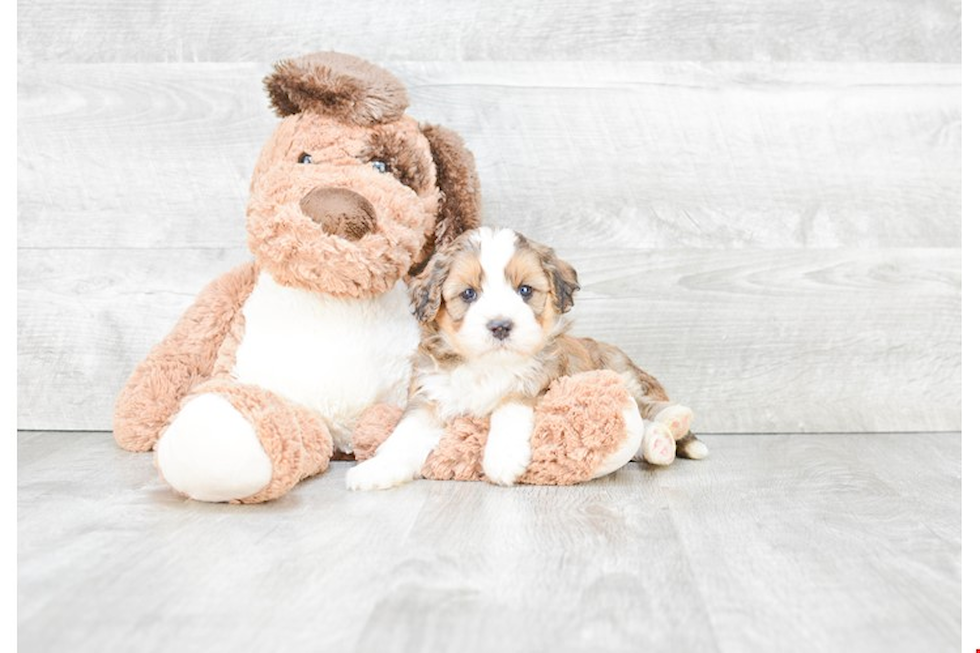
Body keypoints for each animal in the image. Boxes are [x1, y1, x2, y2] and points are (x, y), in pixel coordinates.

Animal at [348, 228, 708, 488]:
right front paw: (377, 469)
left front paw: (503, 458)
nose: (500, 326)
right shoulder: (431, 394)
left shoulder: (544, 378)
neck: (488, 364)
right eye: (469, 294)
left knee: (645, 406)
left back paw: (673, 419)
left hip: (620, 372)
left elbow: (510, 404)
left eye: (524, 291)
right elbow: (405, 433)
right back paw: (658, 443)